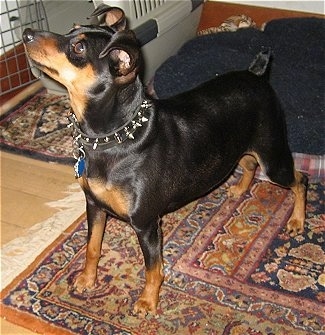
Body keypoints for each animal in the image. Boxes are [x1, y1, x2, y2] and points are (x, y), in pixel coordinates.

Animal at [22, 5, 306, 318]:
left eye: (79, 47)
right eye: (71, 29)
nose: (27, 33)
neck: (111, 138)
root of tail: (256, 73)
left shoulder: (146, 224)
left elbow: (153, 268)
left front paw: (147, 303)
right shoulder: (94, 206)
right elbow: (92, 247)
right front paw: (86, 280)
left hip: (273, 156)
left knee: (299, 180)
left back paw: (296, 221)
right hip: (239, 148)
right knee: (248, 165)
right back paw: (239, 189)